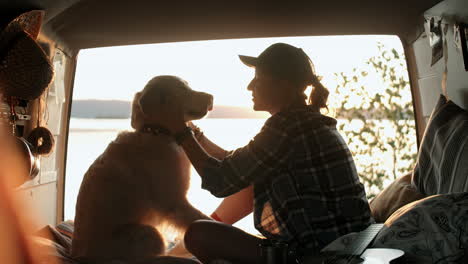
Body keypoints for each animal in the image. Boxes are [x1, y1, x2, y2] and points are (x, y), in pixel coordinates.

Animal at [72, 75, 214, 262]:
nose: (212, 98)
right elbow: (206, 219)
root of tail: (77, 257)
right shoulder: (174, 202)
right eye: (183, 89)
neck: (156, 131)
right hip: (150, 233)